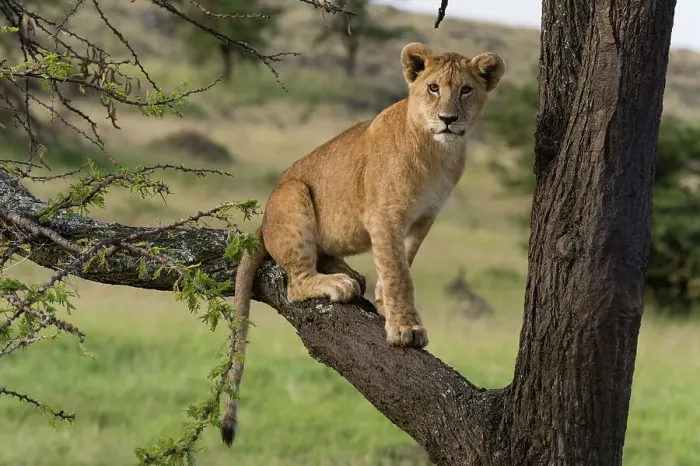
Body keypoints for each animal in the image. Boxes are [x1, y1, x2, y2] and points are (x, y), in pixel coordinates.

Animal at [220, 42, 506, 445]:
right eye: (433, 88)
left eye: (466, 90)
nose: (448, 119)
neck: (438, 151)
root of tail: (261, 225)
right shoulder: (384, 216)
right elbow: (400, 272)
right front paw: (405, 330)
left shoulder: (423, 219)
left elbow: (401, 263)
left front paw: (386, 304)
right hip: (293, 193)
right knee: (296, 282)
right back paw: (337, 283)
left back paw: (351, 275)